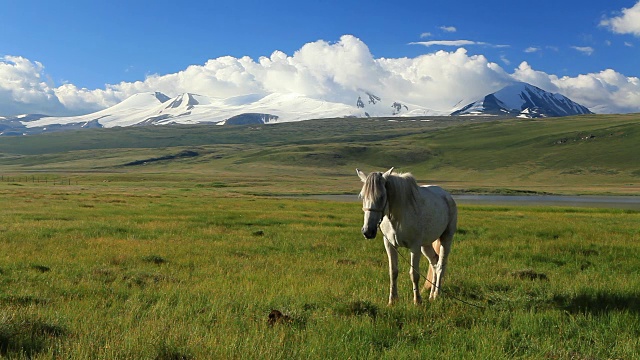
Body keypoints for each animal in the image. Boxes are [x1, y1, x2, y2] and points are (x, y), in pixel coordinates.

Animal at [358, 167, 458, 306]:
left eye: (382, 196)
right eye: (362, 196)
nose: (368, 231)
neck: (398, 217)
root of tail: (447, 196)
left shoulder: (414, 247)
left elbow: (414, 274)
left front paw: (417, 301)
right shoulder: (390, 245)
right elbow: (393, 272)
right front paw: (392, 300)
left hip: (446, 239)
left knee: (440, 266)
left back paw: (436, 295)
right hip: (425, 245)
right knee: (434, 262)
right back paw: (431, 295)